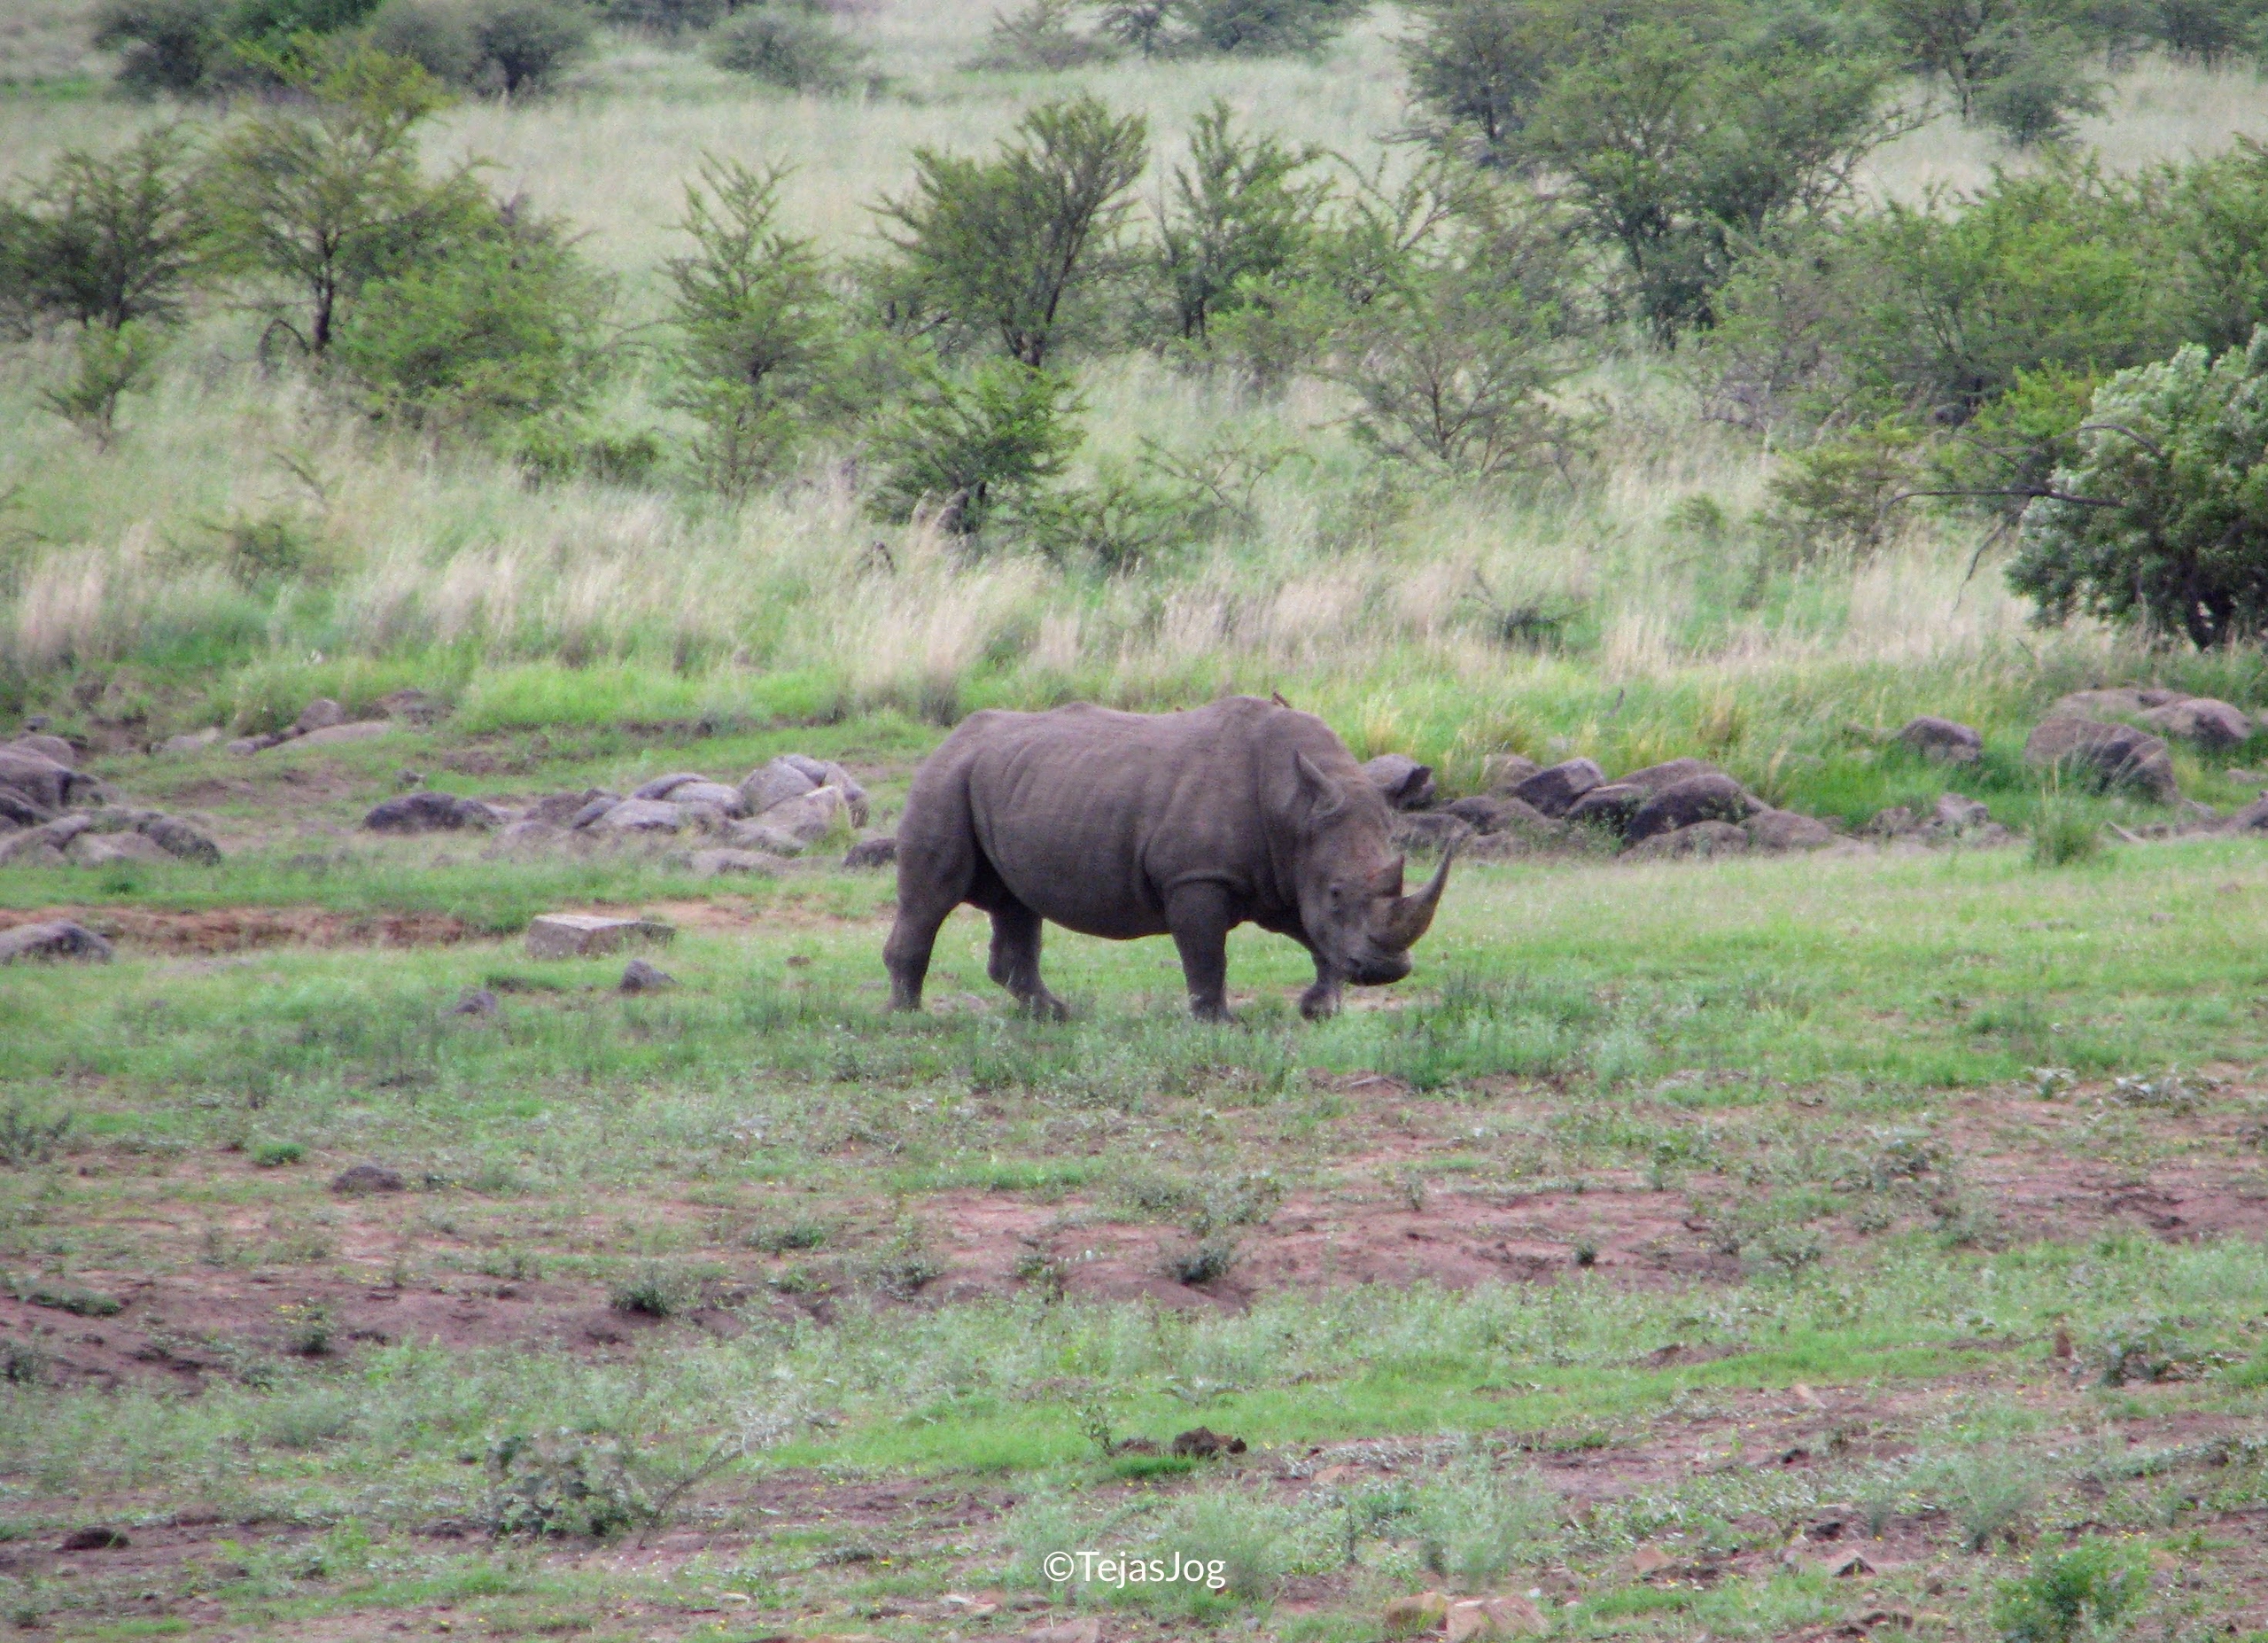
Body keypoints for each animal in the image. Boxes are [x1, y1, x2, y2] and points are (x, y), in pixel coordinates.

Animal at [885, 696, 1451, 1021]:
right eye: (1337, 892)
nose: (1385, 971)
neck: (1296, 807)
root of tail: (952, 736)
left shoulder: (1288, 872)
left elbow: (1318, 938)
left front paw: (1321, 1009)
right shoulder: (1196, 876)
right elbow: (1207, 953)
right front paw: (1217, 1023)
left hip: (1008, 779)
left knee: (1017, 904)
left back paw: (1053, 1015)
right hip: (945, 779)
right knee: (933, 894)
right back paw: (909, 1019)